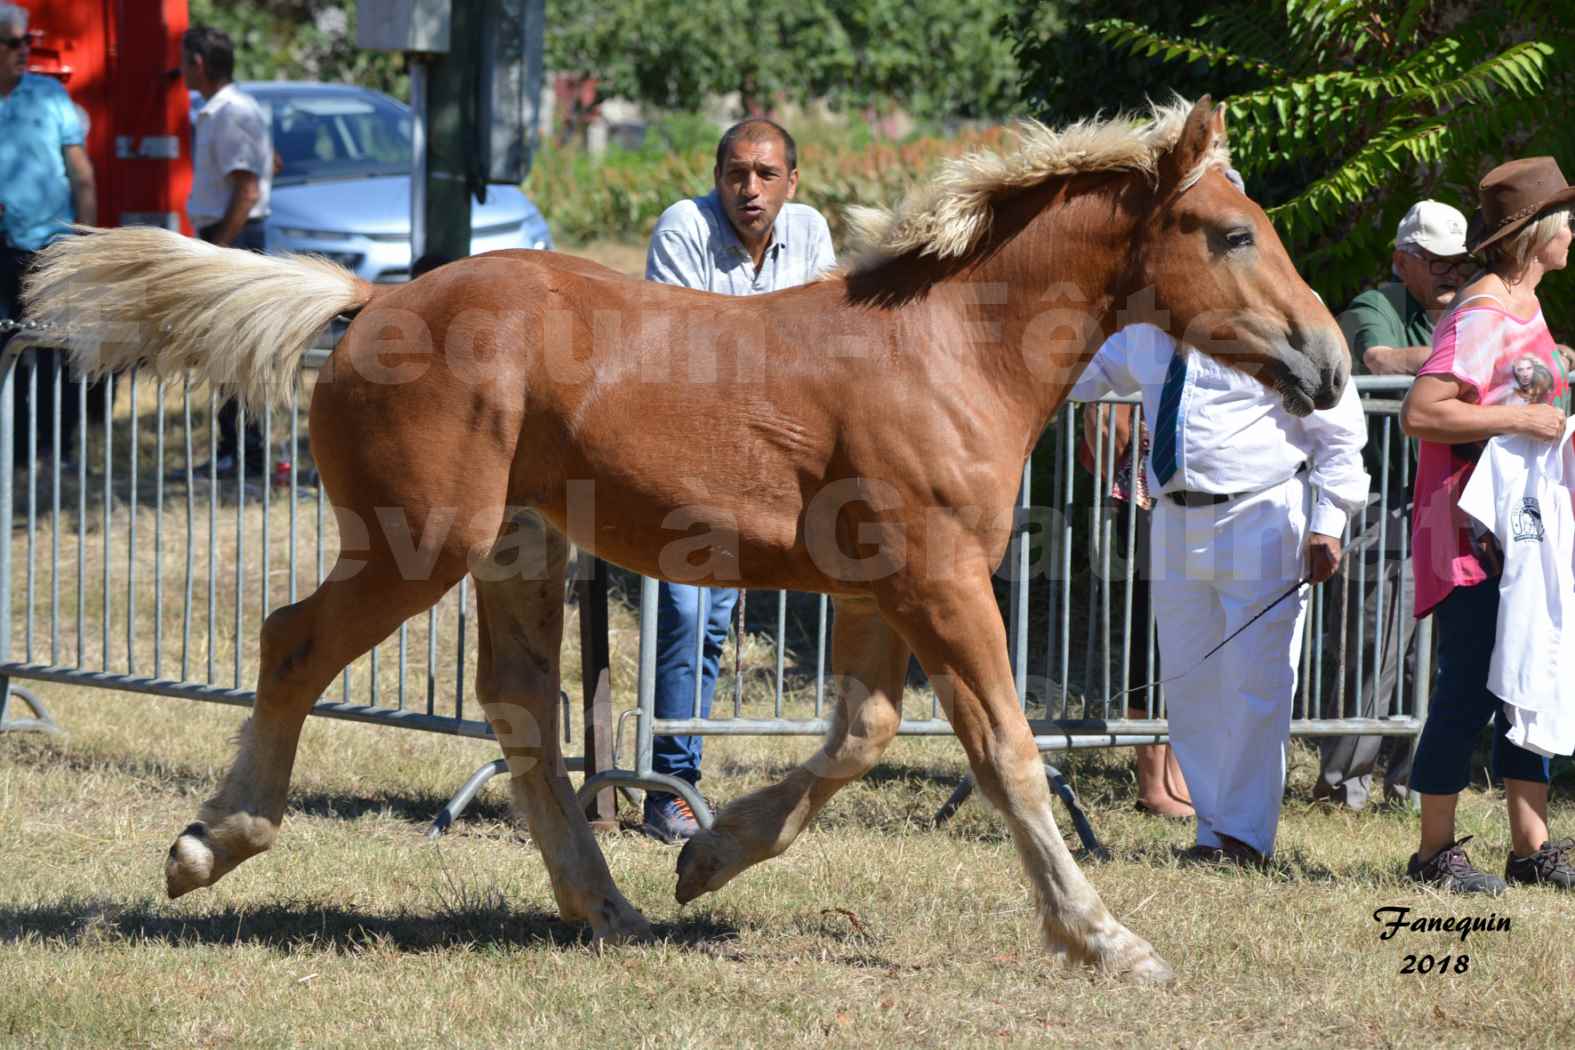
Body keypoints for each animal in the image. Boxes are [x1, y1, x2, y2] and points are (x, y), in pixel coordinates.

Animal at [24, 98, 1348, 976]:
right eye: (1232, 232)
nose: (1329, 363)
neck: (948, 347)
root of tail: (371, 301)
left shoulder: (875, 589)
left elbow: (860, 736)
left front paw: (706, 862)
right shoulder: (944, 582)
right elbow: (1008, 753)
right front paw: (1106, 939)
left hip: (517, 551)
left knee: (519, 710)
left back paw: (605, 906)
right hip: (418, 543)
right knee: (294, 644)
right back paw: (211, 843)